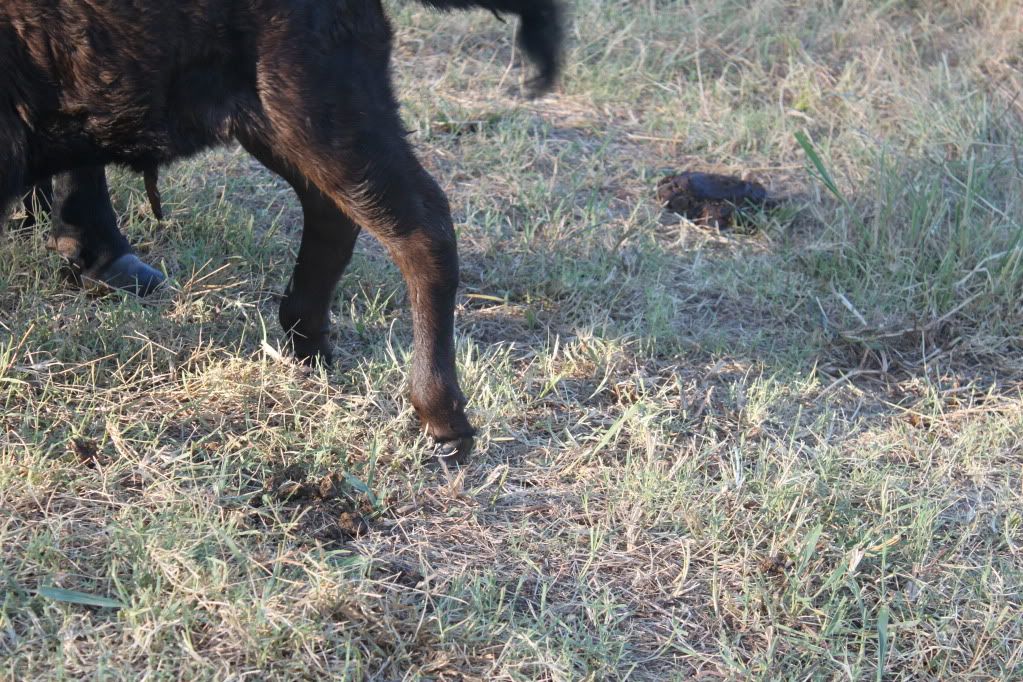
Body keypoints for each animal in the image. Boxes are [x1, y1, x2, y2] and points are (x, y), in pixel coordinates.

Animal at [0, 0, 563, 462]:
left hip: (319, 107)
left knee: (421, 227)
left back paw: (442, 416)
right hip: (284, 120)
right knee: (335, 214)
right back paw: (307, 342)